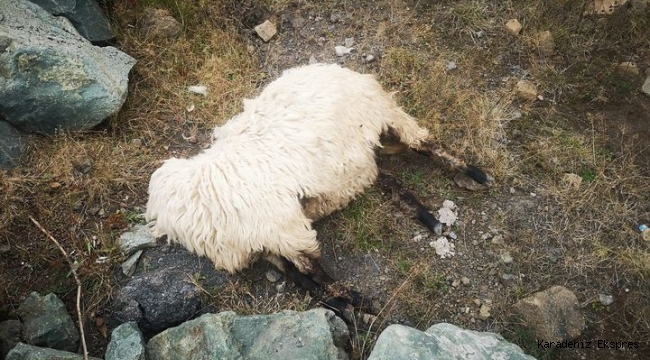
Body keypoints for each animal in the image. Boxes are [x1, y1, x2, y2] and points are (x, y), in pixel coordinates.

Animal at [146, 62, 492, 292]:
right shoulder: (275, 238)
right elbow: (309, 276)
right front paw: (351, 306)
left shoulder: (282, 231)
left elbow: (313, 271)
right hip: (357, 158)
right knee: (387, 176)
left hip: (381, 119)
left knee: (421, 146)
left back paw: (470, 180)